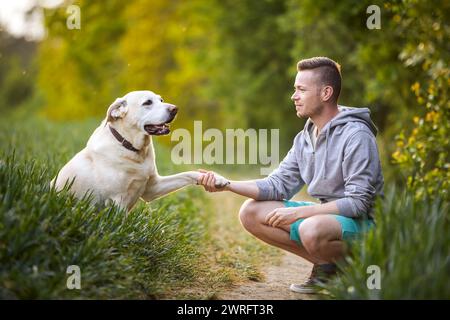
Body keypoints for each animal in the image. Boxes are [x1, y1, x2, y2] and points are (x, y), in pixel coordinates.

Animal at [52, 90, 229, 211]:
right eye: (147, 102)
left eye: (161, 100)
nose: (175, 109)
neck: (134, 150)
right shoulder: (118, 200)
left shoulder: (152, 188)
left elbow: (188, 174)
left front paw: (216, 179)